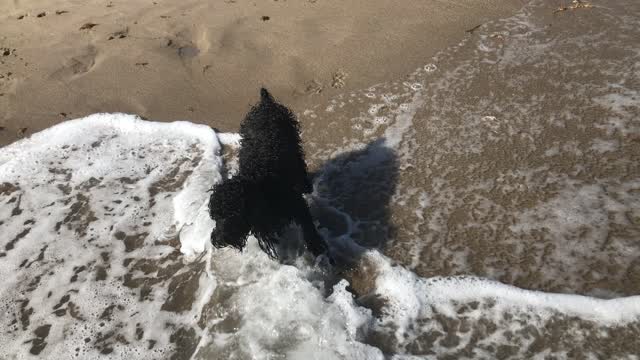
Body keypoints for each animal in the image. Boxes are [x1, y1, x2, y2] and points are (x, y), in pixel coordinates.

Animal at [210, 88, 328, 258]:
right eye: (215, 217)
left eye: (231, 214)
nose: (217, 241)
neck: (261, 187)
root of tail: (265, 103)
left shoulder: (295, 203)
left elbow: (308, 225)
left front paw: (316, 245)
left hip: (293, 141)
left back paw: (305, 184)